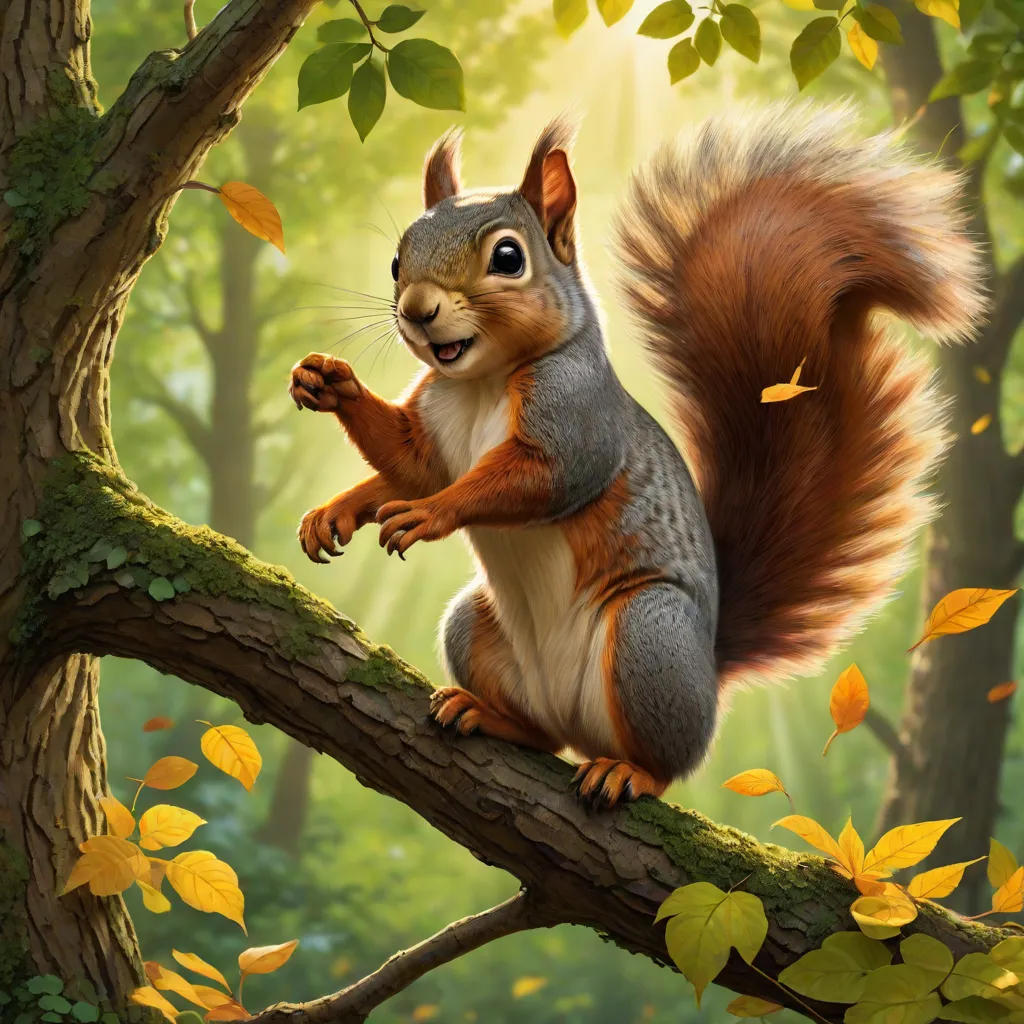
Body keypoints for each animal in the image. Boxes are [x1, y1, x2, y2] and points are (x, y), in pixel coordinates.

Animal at [289, 105, 983, 809]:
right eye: (397, 260)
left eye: (508, 257)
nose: (417, 311)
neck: (483, 382)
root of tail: (706, 670)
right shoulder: (434, 426)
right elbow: (410, 466)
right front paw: (332, 426)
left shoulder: (578, 415)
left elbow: (540, 477)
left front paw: (427, 514)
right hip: (474, 627)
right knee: (543, 735)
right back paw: (488, 714)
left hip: (649, 636)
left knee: (663, 759)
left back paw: (630, 772)